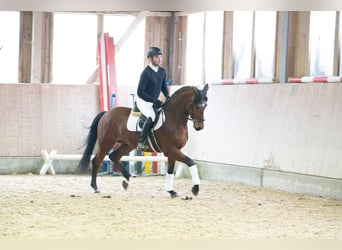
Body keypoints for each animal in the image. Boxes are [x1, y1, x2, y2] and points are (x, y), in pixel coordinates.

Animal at [77, 84, 208, 197]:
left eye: (205, 106)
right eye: (197, 106)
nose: (199, 127)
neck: (174, 118)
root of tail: (107, 113)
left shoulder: (173, 151)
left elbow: (170, 171)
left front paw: (171, 191)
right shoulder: (171, 150)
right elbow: (191, 162)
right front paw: (195, 188)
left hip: (127, 145)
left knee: (114, 156)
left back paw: (126, 180)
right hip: (106, 143)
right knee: (96, 160)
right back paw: (95, 187)